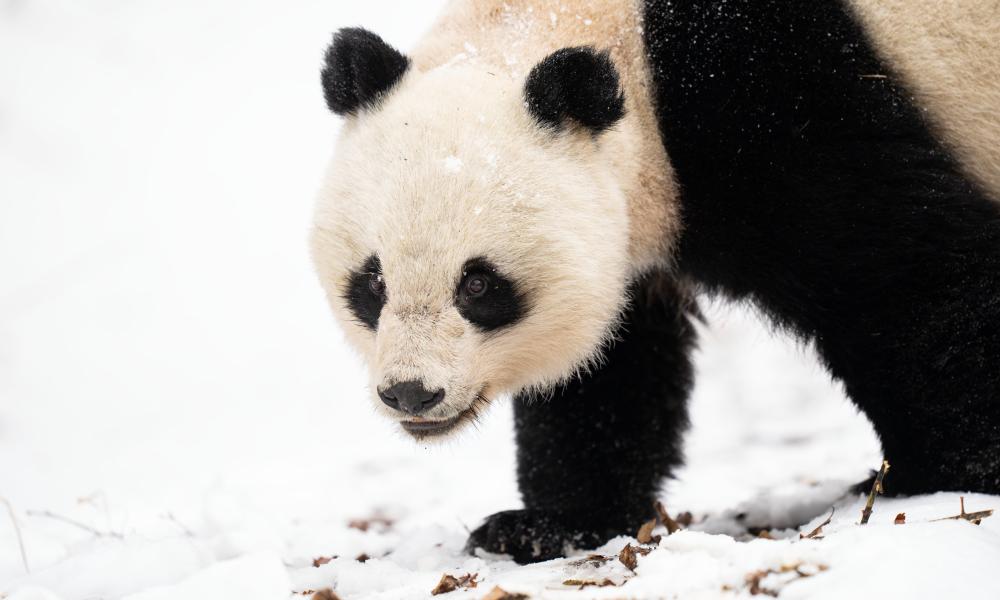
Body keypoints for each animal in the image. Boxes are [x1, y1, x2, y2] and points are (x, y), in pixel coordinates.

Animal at [310, 0, 1000, 563]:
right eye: (373, 283)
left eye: (478, 286)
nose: (411, 394)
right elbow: (610, 373)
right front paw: (547, 525)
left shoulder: (773, 99)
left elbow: (897, 271)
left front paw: (943, 474)